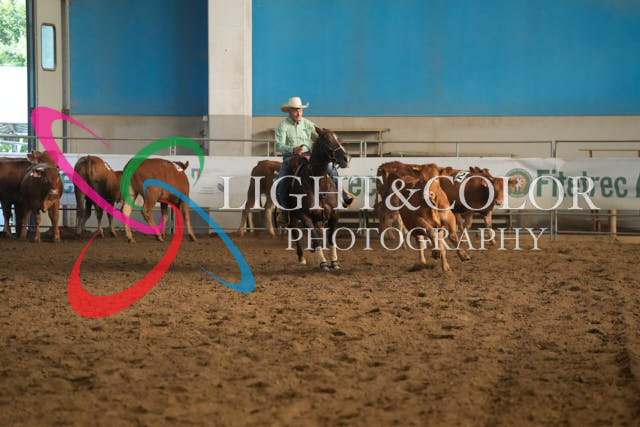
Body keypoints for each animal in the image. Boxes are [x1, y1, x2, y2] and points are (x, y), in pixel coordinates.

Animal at [285, 127, 350, 271]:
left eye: (340, 139)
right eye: (328, 140)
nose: (346, 158)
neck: (318, 185)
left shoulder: (334, 215)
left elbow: (330, 238)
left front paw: (335, 262)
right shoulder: (304, 216)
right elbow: (315, 237)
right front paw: (323, 262)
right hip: (292, 215)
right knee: (296, 233)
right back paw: (301, 257)